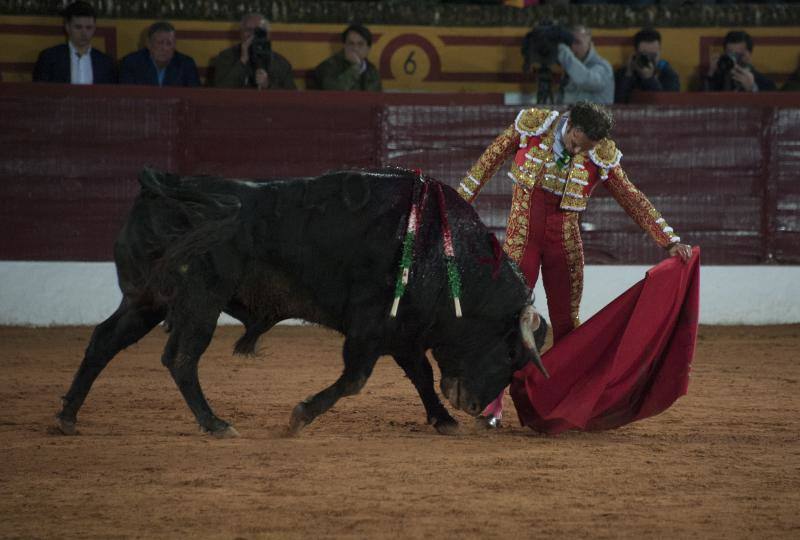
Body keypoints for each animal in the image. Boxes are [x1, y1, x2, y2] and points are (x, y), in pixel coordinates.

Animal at [54, 167, 544, 436]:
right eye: (510, 354)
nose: (474, 405)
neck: (440, 251)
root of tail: (163, 187)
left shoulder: (402, 332)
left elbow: (420, 375)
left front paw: (443, 419)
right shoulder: (371, 329)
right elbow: (355, 379)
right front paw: (299, 416)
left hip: (146, 299)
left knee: (104, 341)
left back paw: (66, 416)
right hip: (200, 303)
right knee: (180, 359)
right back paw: (215, 424)